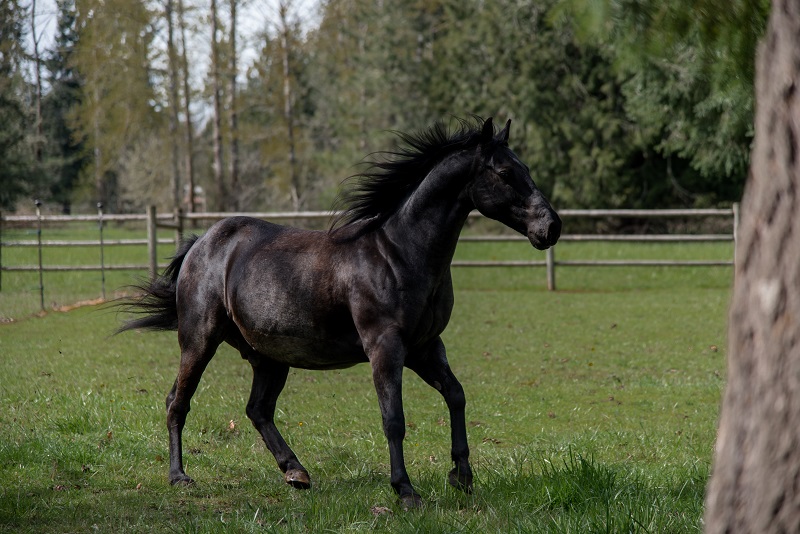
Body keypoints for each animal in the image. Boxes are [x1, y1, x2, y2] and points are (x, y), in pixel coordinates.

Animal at [118, 117, 561, 508]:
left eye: (524, 168)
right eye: (505, 172)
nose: (551, 227)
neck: (399, 253)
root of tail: (201, 243)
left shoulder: (426, 346)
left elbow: (456, 395)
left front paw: (462, 477)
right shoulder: (385, 347)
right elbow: (393, 419)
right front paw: (406, 492)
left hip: (269, 357)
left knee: (258, 410)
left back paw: (295, 472)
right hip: (199, 340)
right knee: (178, 401)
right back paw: (179, 476)